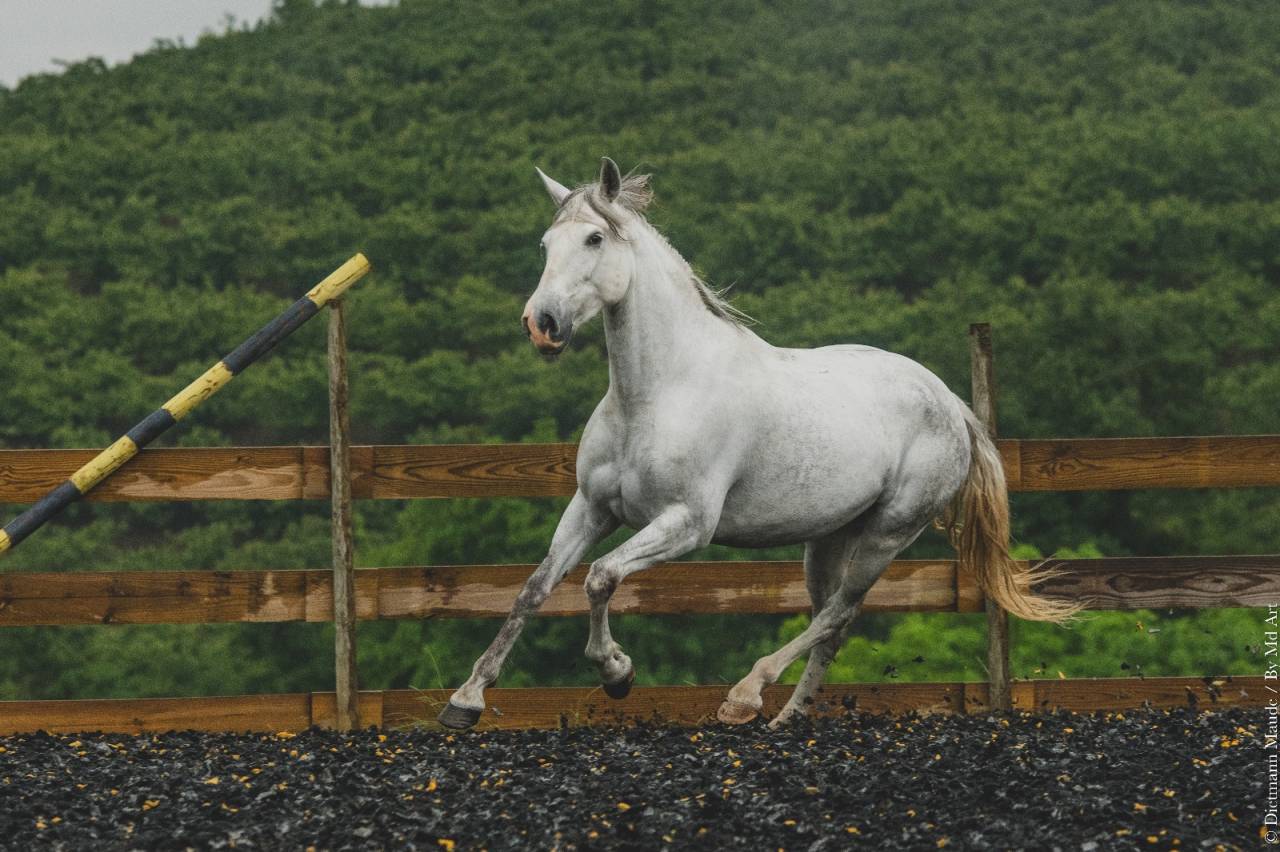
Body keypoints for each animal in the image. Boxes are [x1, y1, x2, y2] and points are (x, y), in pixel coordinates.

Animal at [437, 158, 1076, 730]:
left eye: (594, 238)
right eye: (547, 243)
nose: (541, 325)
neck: (658, 394)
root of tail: (951, 403)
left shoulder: (687, 524)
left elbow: (600, 578)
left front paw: (617, 673)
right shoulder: (592, 508)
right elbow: (535, 588)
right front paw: (465, 702)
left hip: (890, 532)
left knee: (838, 613)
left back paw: (745, 698)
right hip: (829, 538)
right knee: (833, 625)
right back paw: (785, 719)